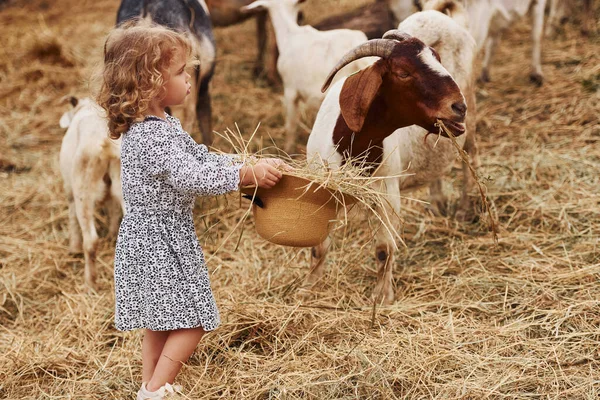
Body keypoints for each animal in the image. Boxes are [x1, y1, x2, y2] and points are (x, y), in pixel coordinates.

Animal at [59, 97, 124, 290]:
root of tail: (105, 142)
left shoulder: (70, 190)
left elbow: (72, 217)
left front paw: (73, 248)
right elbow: (113, 209)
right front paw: (111, 235)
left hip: (83, 188)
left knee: (91, 240)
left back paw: (90, 283)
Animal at [304, 3, 478, 304]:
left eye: (438, 59)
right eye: (403, 72)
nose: (458, 106)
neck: (351, 145)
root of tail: (439, 12)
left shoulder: (387, 194)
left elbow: (384, 250)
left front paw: (381, 297)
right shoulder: (323, 189)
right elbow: (318, 246)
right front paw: (309, 287)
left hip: (470, 122)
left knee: (471, 155)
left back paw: (465, 209)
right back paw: (438, 203)